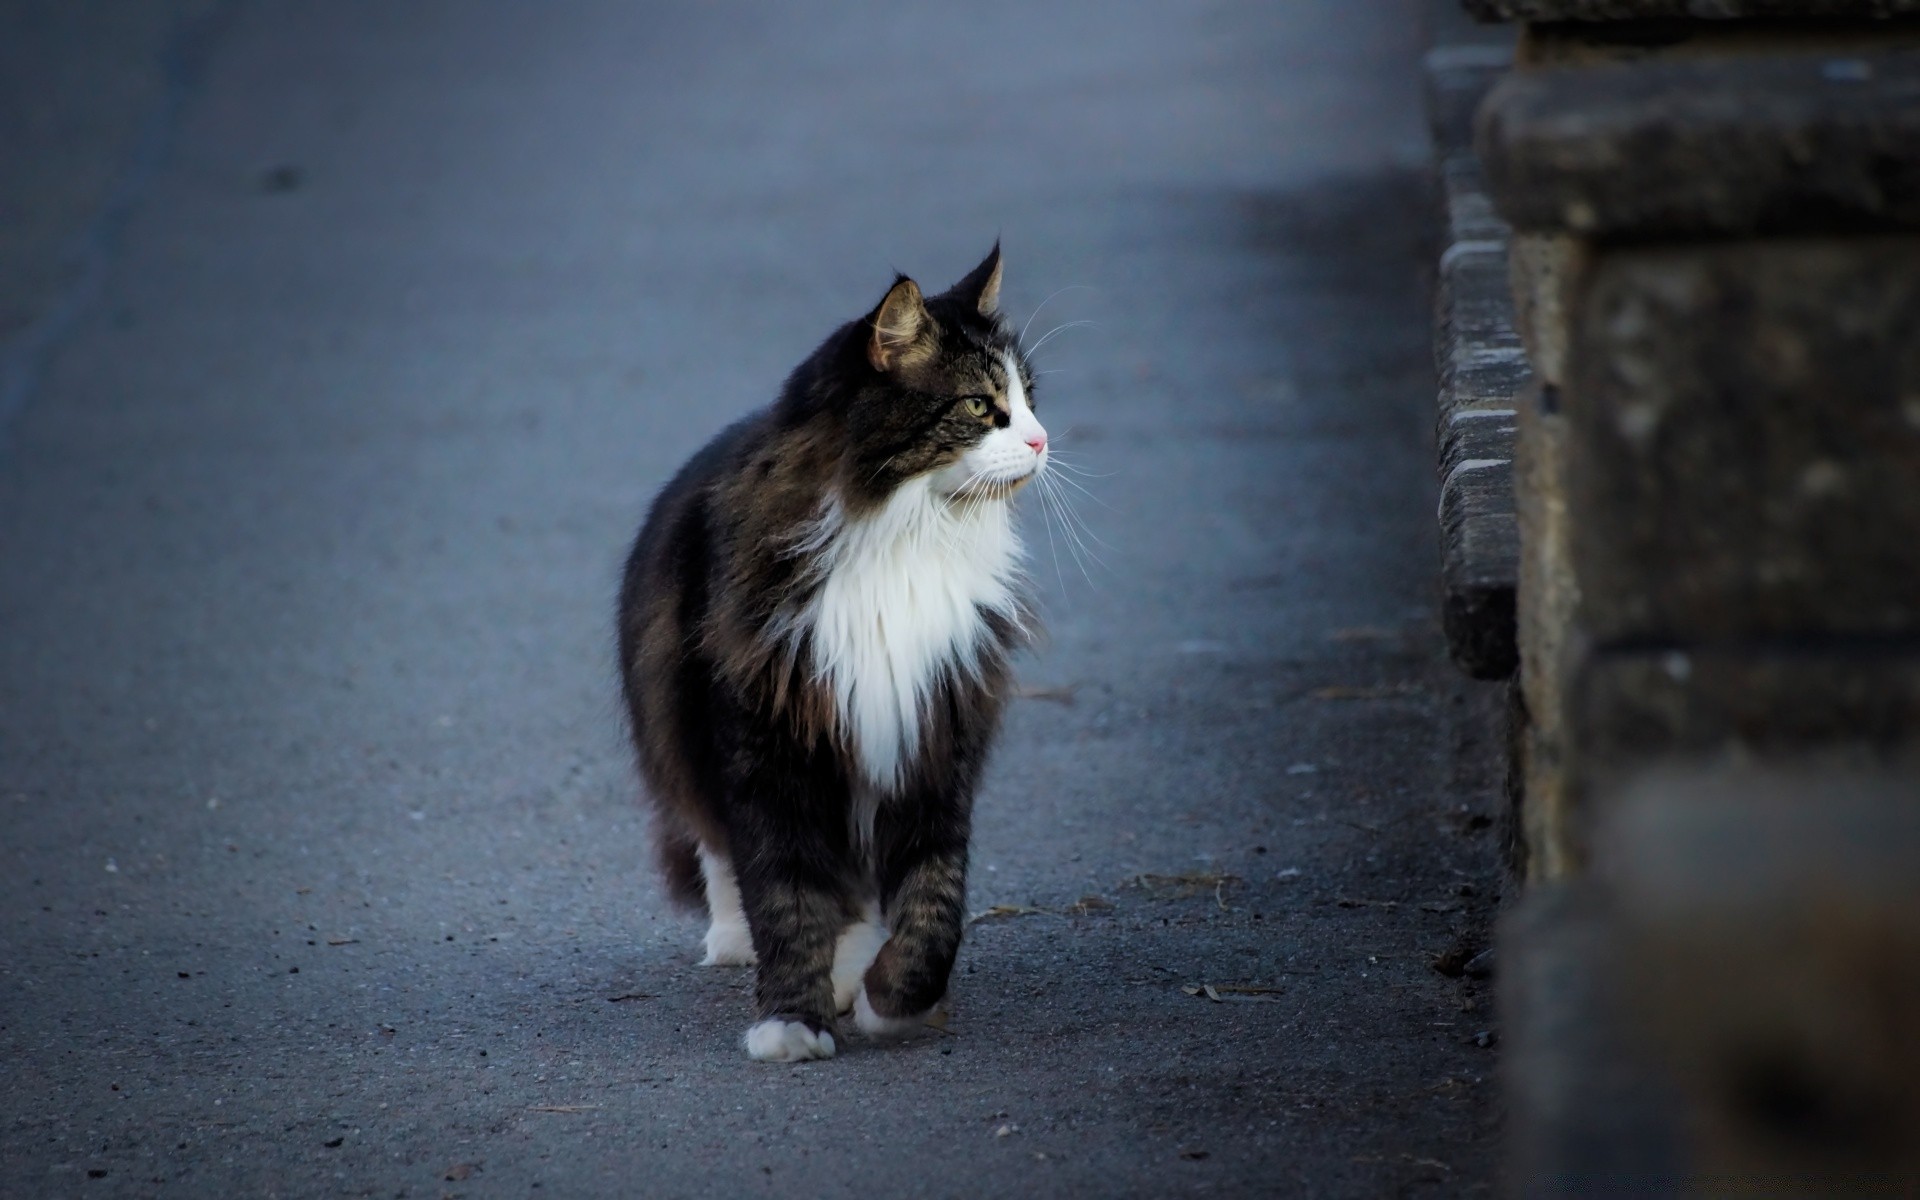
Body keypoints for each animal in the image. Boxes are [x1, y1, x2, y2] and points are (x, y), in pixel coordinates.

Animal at [618, 243, 1052, 1059]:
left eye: (1031, 397)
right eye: (982, 407)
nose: (1043, 441)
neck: (903, 539)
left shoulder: (933, 729)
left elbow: (933, 897)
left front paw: (896, 1001)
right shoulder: (767, 745)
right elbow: (785, 895)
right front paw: (792, 1022)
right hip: (691, 732)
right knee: (721, 849)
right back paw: (741, 943)